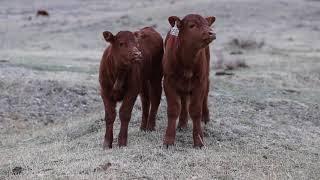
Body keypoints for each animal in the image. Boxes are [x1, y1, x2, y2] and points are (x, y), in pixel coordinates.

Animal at [164, 14, 216, 148]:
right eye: (192, 25)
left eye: (207, 24)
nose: (211, 33)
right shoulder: (168, 82)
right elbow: (173, 109)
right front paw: (168, 140)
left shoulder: (200, 82)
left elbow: (196, 110)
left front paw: (199, 141)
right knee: (183, 100)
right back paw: (182, 123)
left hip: (206, 76)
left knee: (205, 96)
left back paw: (206, 117)